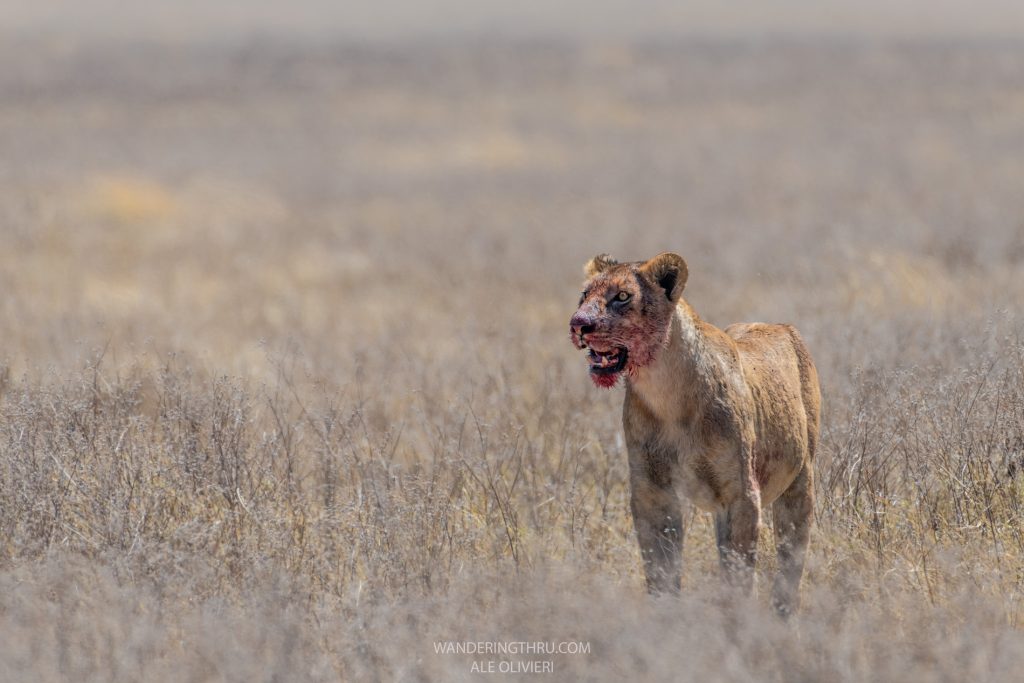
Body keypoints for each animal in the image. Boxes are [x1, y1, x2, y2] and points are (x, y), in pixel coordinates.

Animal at [569, 252, 820, 616]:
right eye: (584, 295)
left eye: (622, 296)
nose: (578, 324)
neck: (664, 390)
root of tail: (778, 325)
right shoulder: (653, 493)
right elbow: (660, 570)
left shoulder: (741, 495)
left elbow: (737, 574)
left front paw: (735, 619)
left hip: (800, 482)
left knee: (790, 560)